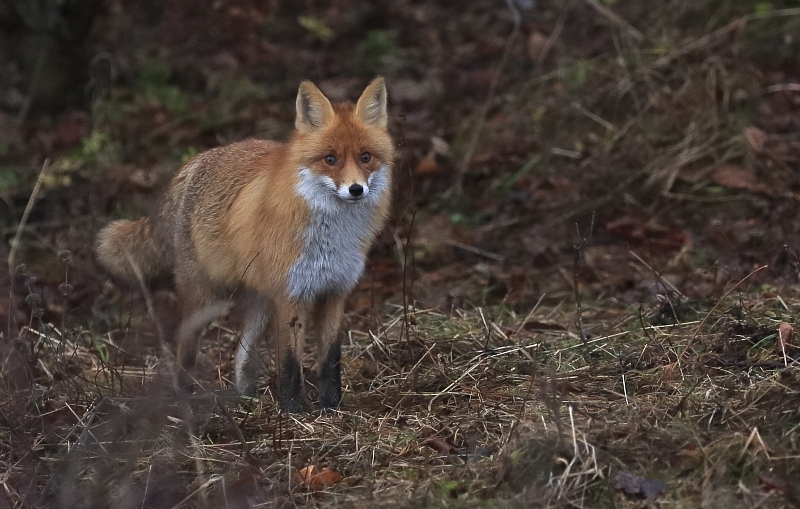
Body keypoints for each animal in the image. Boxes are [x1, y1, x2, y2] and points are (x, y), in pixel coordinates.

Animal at [95, 77, 396, 410]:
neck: (332, 238)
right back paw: (183, 400)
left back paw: (244, 399)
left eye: (365, 157)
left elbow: (330, 360)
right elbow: (290, 362)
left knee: (240, 356)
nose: (356, 190)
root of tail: (194, 163)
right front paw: (291, 411)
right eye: (330, 159)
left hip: (258, 306)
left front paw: (331, 407)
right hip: (206, 301)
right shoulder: (290, 296)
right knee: (183, 349)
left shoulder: (335, 293)